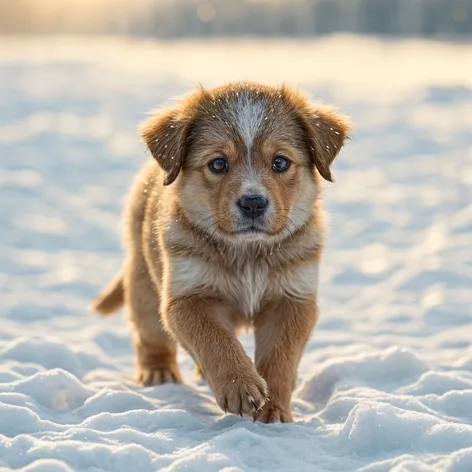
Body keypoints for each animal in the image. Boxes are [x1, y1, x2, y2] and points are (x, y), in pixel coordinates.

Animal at [92, 82, 350, 424]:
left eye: (280, 162)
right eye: (218, 163)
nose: (253, 203)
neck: (248, 254)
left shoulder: (292, 297)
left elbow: (279, 356)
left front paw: (273, 410)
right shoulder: (188, 295)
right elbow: (215, 339)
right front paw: (240, 386)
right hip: (143, 283)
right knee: (150, 335)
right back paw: (159, 373)